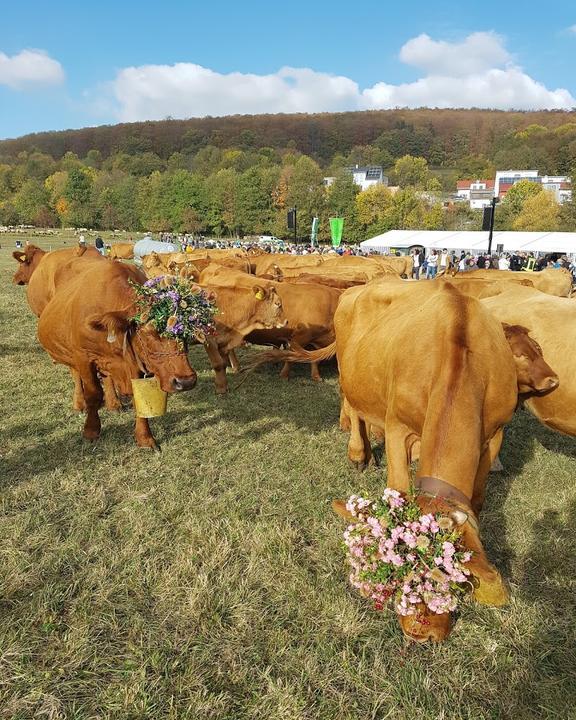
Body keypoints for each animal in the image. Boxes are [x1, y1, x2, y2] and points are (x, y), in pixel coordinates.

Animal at [37, 258, 198, 450]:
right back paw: (79, 403)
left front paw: (145, 438)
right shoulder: (83, 357)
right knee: (76, 376)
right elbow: (93, 394)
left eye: (187, 332)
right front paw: (91, 430)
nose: (186, 381)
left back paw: (113, 403)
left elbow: (139, 398)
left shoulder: (134, 363)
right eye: (148, 331)